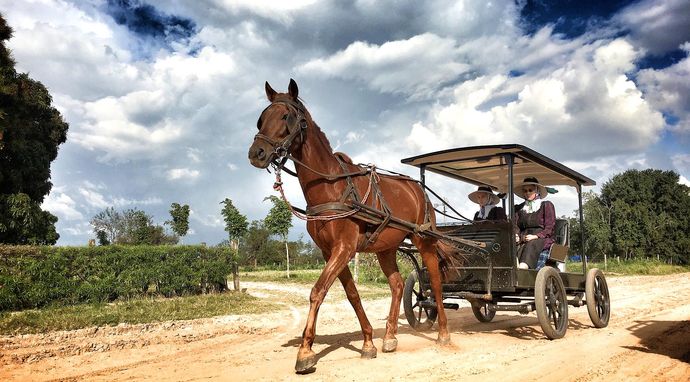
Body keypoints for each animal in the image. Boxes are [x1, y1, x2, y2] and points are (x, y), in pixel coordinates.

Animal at [247, 79, 452, 374]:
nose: (257, 153)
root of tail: (418, 189)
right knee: (397, 285)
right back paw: (390, 337)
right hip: (386, 248)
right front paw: (368, 342)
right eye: (261, 119)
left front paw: (305, 352)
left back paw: (443, 333)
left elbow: (317, 291)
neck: (331, 186)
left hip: (424, 240)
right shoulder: (330, 251)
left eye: (286, 117)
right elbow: (353, 294)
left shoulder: (343, 248)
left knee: (434, 282)